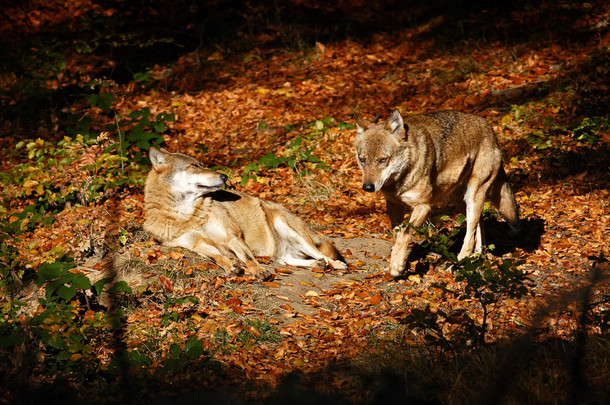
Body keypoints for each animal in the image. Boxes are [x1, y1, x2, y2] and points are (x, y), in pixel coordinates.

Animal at [140, 147, 344, 280]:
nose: (224, 176)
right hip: (282, 253)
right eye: (194, 166)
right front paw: (231, 266)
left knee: (322, 255)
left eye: (202, 164)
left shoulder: (232, 237)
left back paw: (337, 265)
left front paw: (258, 271)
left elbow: (247, 257)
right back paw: (316, 265)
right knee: (293, 260)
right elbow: (217, 257)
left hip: (289, 229)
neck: (186, 215)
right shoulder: (196, 245)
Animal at [352, 109, 516, 276]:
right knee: (479, 223)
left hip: (472, 196)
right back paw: (476, 256)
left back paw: (458, 263)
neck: (399, 181)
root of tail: (488, 127)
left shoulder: (424, 207)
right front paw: (397, 261)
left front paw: (396, 267)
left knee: (470, 235)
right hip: (459, 200)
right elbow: (397, 234)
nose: (367, 187)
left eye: (383, 160)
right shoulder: (393, 204)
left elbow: (404, 233)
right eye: (362, 159)